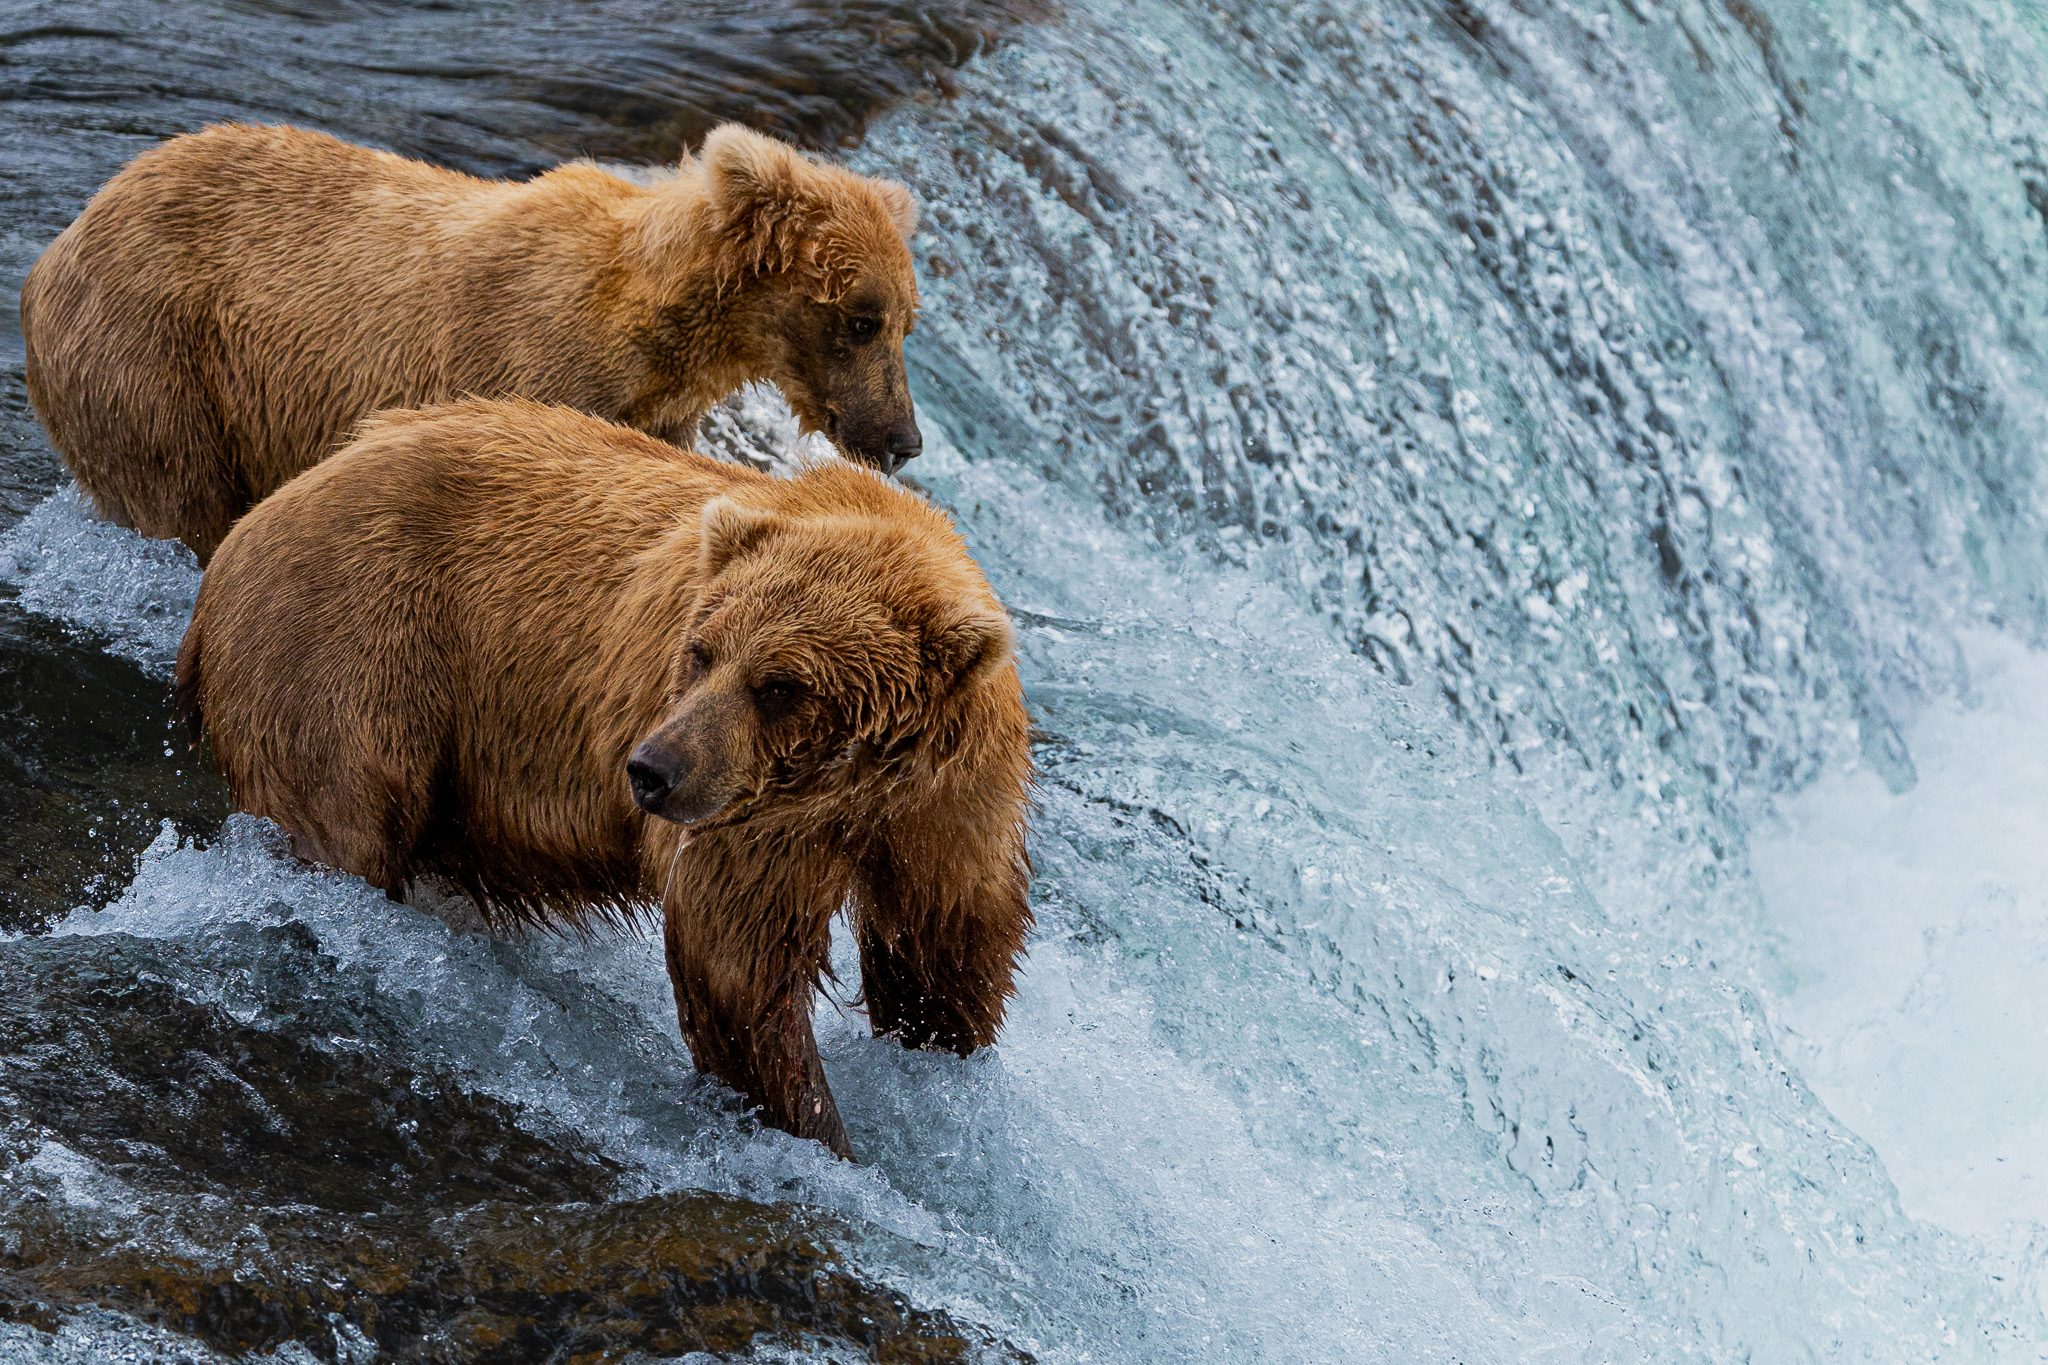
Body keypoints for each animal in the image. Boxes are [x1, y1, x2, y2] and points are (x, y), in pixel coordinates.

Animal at [22, 121, 923, 563]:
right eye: (862, 317)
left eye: (905, 317)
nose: (905, 438)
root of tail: (56, 246)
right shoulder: (527, 361)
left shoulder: (656, 415)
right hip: (152, 353)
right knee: (180, 493)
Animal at [173, 398, 1032, 1159]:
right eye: (702, 650)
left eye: (780, 684)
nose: (652, 770)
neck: (860, 784)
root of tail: (248, 529)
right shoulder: (759, 819)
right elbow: (738, 961)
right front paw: (821, 1130)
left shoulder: (952, 802)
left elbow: (943, 947)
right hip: (352, 643)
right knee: (341, 816)